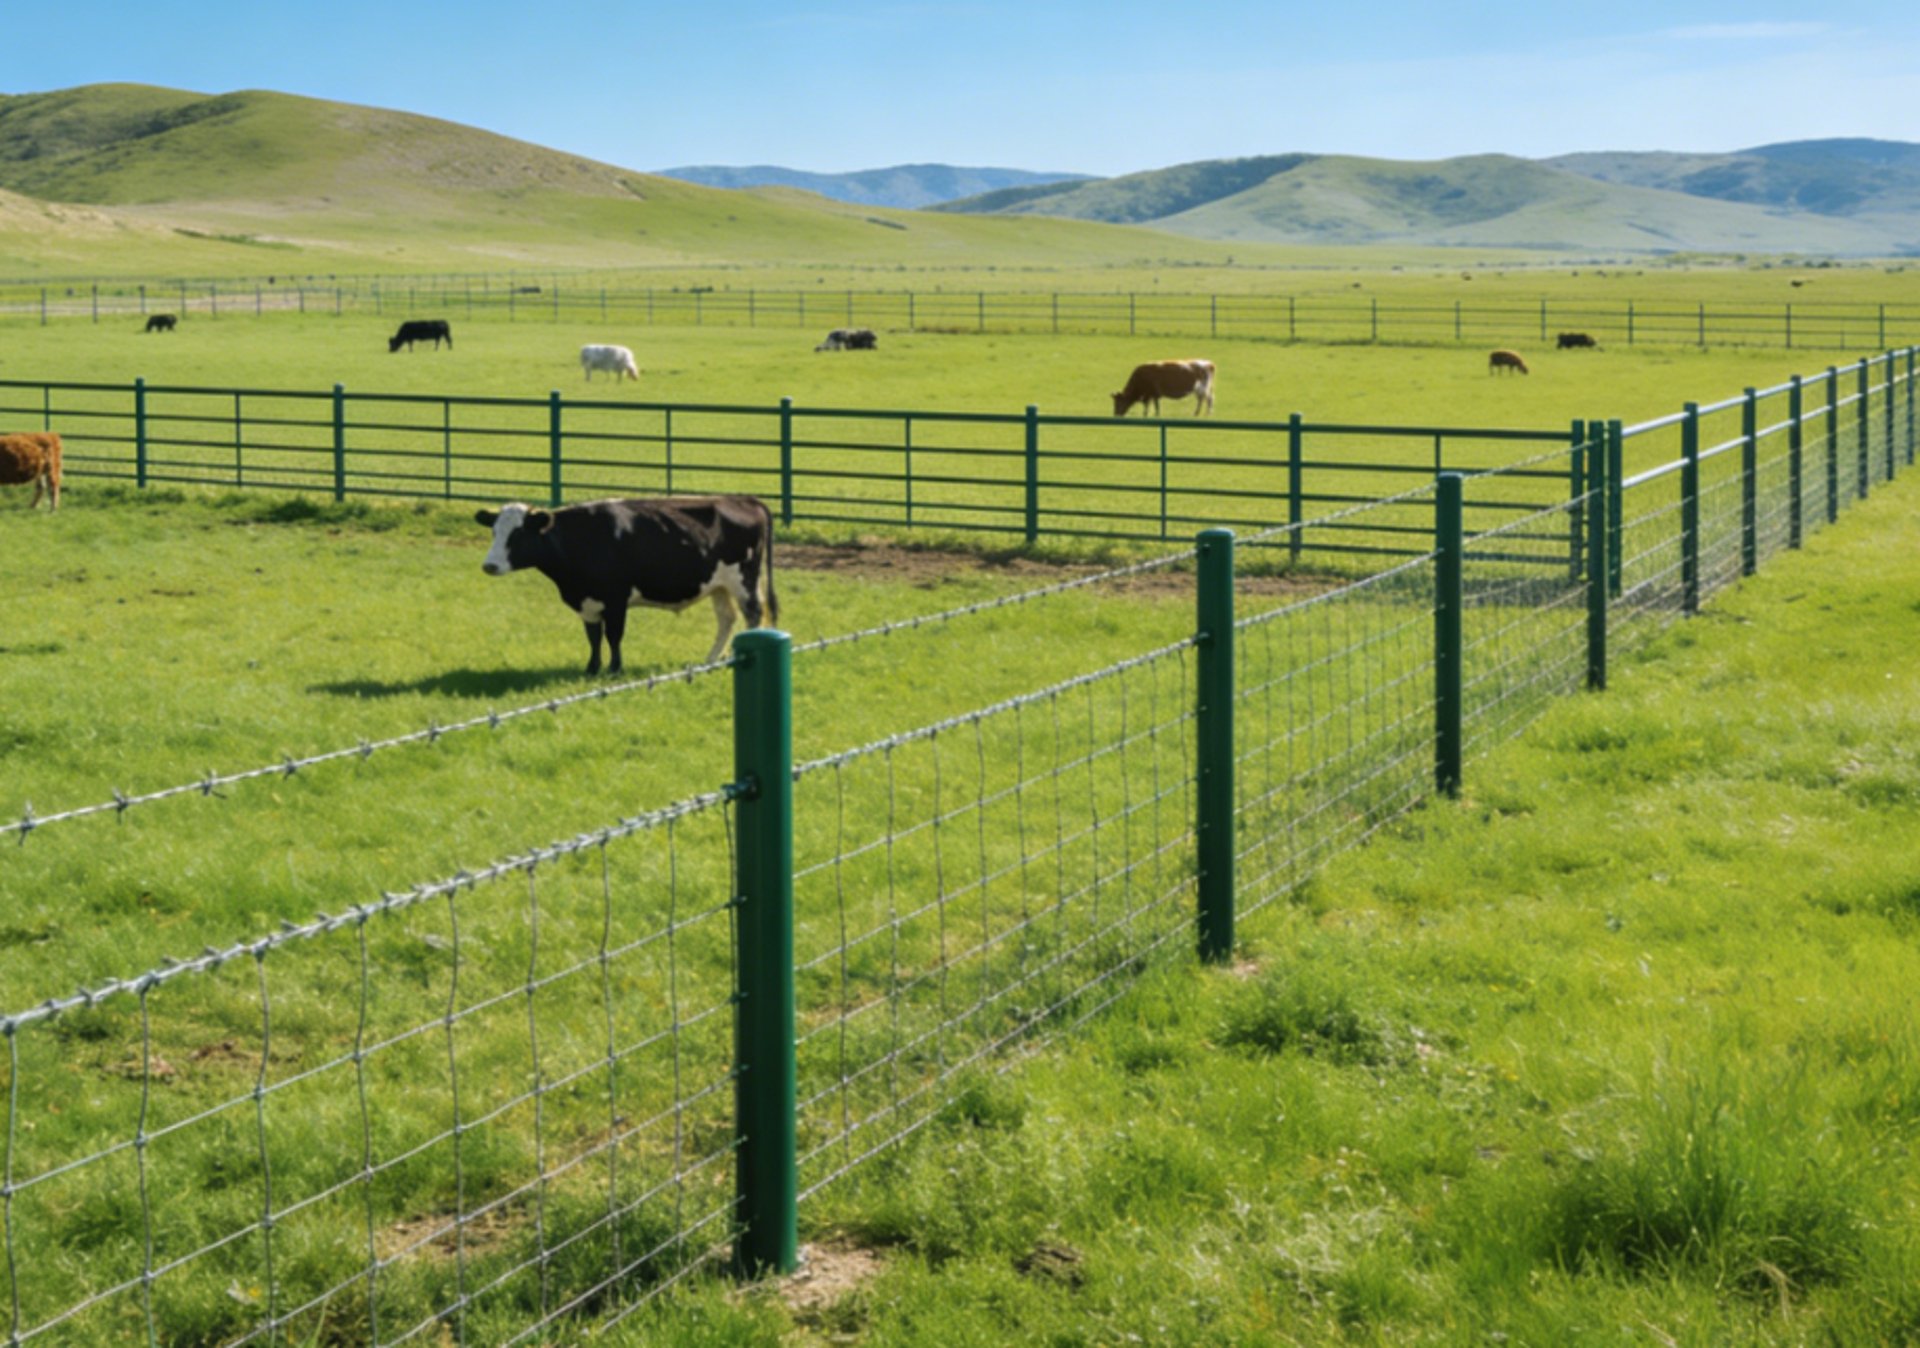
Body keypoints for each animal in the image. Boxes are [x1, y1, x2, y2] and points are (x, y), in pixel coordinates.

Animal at [475, 495, 779, 674]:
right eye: (494, 531)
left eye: (518, 534)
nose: (489, 566)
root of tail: (744, 499)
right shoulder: (588, 601)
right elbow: (593, 636)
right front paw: (592, 668)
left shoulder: (615, 599)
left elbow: (613, 636)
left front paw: (614, 669)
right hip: (719, 585)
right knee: (727, 618)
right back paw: (711, 659)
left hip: (744, 581)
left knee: (753, 615)